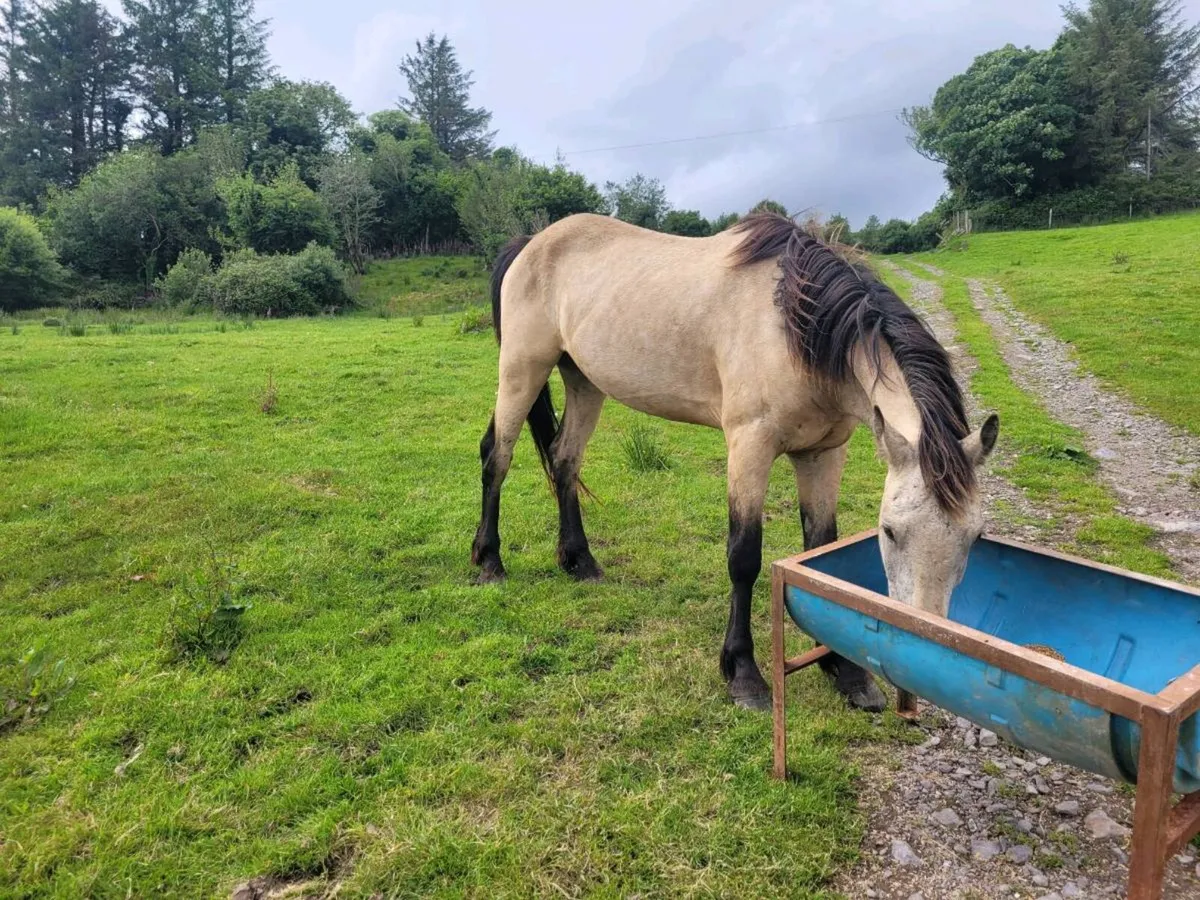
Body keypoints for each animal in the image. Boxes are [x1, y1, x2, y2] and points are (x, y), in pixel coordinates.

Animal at [470, 211, 999, 712]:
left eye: (975, 537)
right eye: (888, 531)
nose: (924, 650)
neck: (794, 327)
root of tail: (533, 243)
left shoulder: (823, 454)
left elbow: (820, 550)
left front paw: (846, 675)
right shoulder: (750, 446)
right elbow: (744, 556)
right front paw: (743, 674)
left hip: (583, 380)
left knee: (564, 460)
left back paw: (579, 561)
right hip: (521, 369)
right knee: (497, 455)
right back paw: (489, 561)